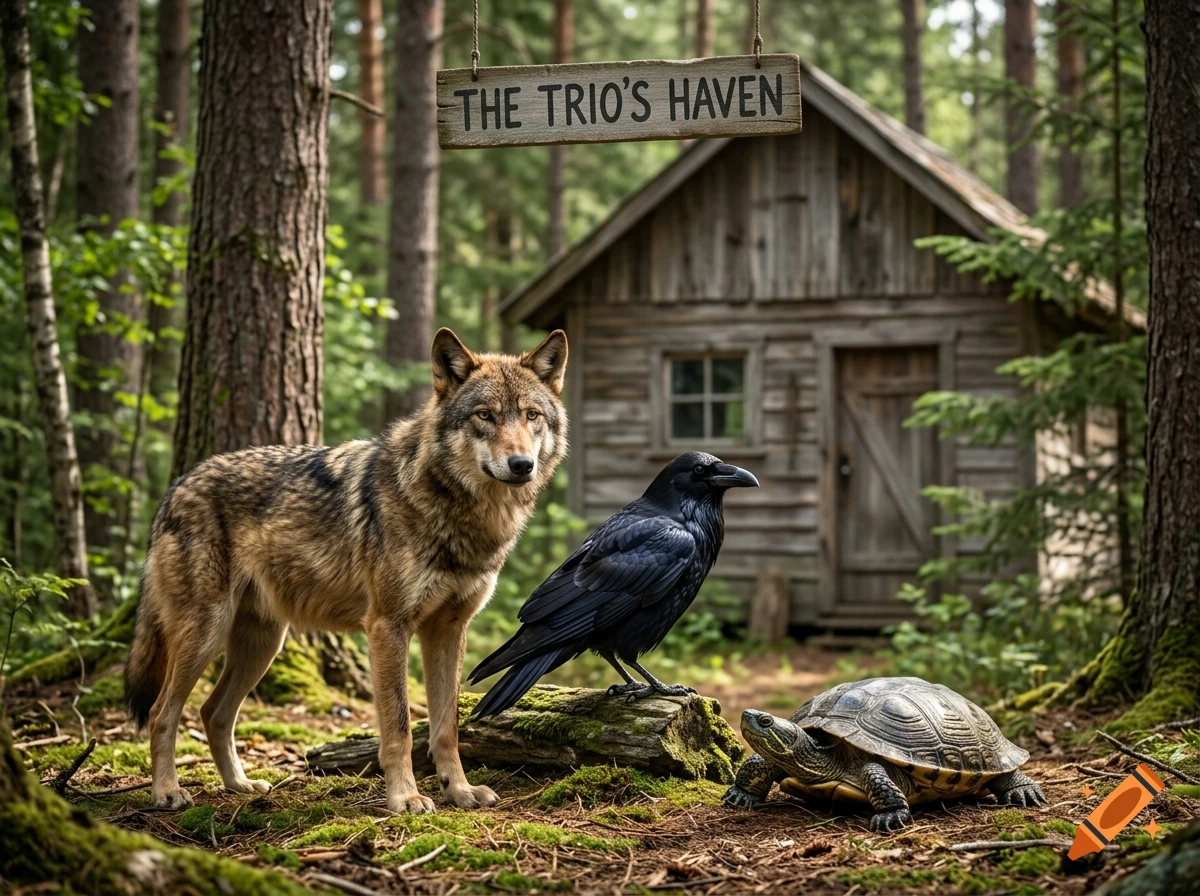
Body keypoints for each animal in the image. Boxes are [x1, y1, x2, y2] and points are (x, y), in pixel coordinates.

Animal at [124, 328, 568, 813]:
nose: (522, 465)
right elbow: (399, 726)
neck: (460, 513)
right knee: (161, 712)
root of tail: (174, 489)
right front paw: (405, 798)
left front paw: (459, 791)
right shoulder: (388, 627)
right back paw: (167, 791)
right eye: (484, 415)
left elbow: (447, 728)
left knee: (213, 712)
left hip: (262, 644)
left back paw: (239, 785)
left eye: (531, 416)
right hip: (206, 633)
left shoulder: (449, 629)